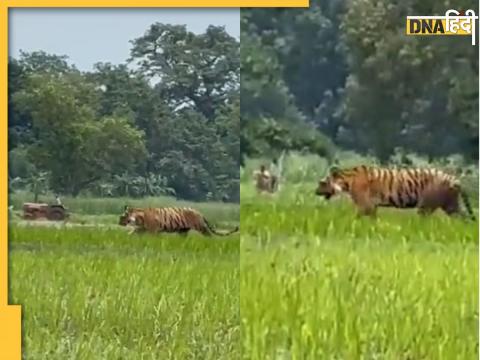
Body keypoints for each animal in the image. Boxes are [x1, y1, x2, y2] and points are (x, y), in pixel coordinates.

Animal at [316, 165, 476, 221]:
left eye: (322, 183)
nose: (315, 191)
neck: (347, 181)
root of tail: (454, 178)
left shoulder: (365, 205)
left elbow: (356, 216)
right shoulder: (372, 206)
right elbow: (372, 219)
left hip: (427, 206)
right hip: (451, 205)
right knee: (464, 218)